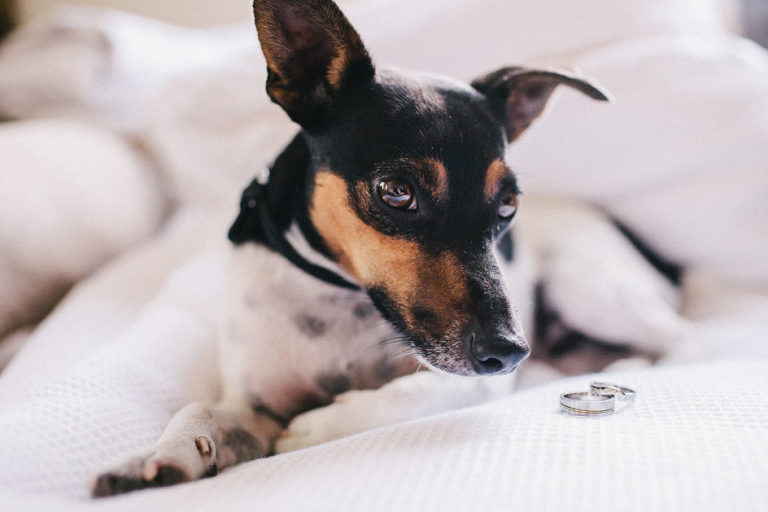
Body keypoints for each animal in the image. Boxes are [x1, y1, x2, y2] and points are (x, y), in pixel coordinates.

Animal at [91, 0, 688, 496]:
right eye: (397, 192)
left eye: (508, 206)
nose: (510, 352)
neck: (339, 294)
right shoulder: (252, 404)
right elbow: (202, 412)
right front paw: (158, 457)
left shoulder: (467, 385)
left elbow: (405, 396)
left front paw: (318, 426)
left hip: (590, 287)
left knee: (681, 337)